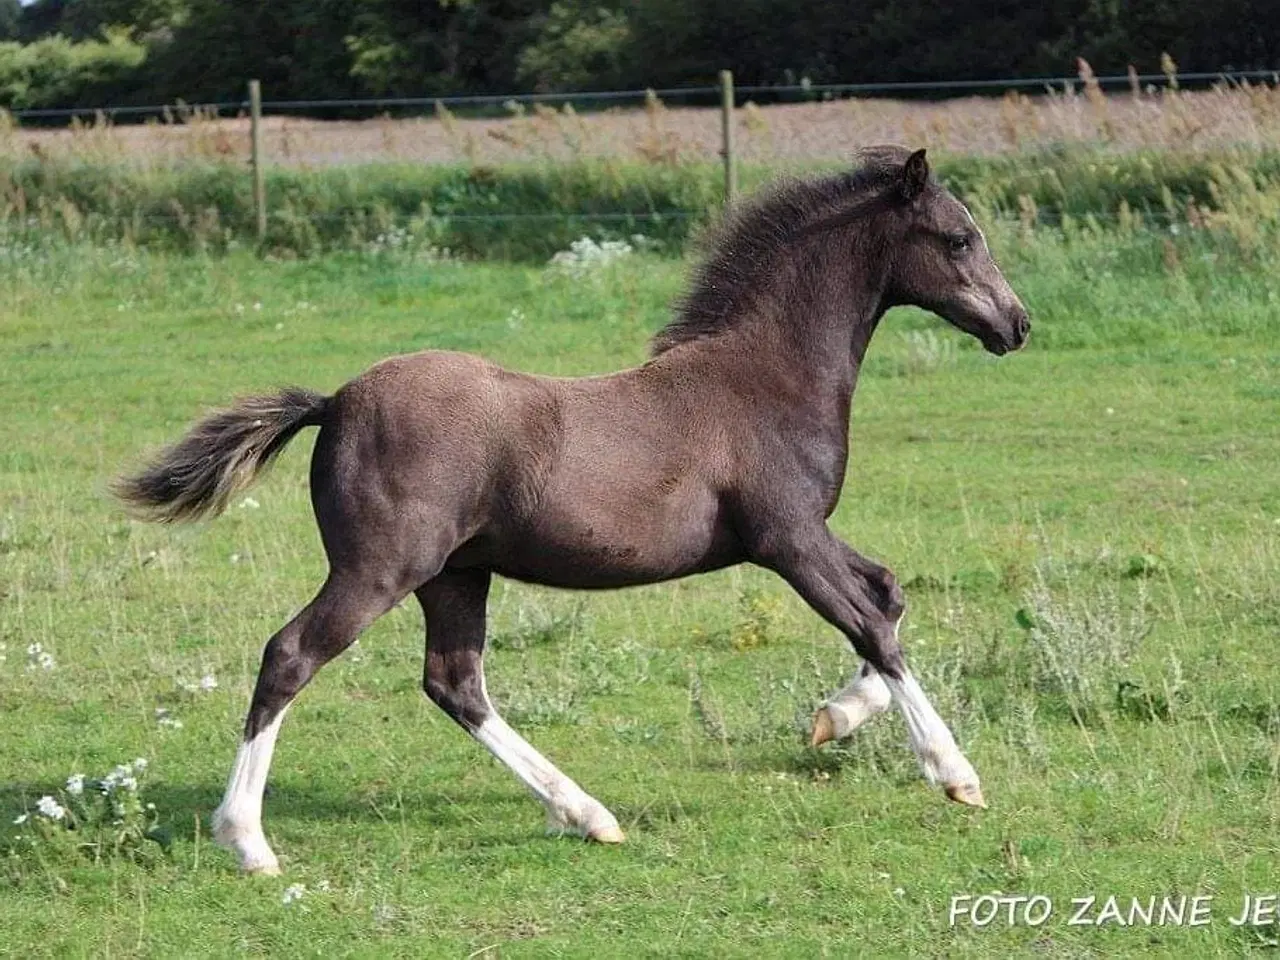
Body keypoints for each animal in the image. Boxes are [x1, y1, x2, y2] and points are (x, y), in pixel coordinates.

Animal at [120, 146, 1029, 875]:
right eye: (958, 238)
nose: (1016, 324)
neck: (764, 377)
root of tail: (335, 401)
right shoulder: (789, 539)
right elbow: (872, 625)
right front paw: (954, 773)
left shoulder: (807, 536)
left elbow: (889, 595)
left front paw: (833, 719)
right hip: (381, 569)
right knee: (291, 655)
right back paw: (247, 841)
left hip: (454, 575)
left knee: (455, 684)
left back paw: (587, 814)